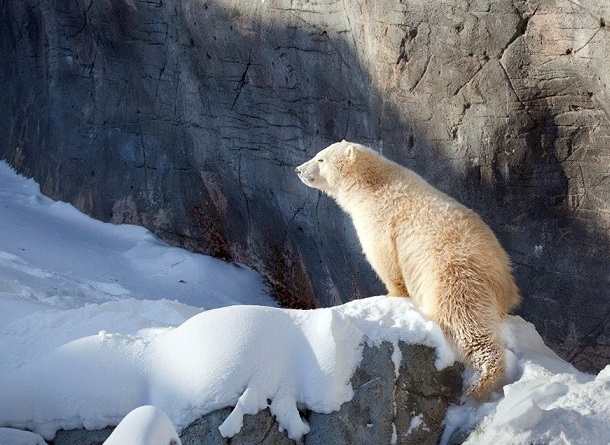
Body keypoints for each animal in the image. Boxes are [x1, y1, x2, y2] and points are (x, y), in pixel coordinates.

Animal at [294, 140, 516, 398]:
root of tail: (499, 269)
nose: (298, 170)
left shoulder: (379, 220)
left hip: (453, 272)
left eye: (321, 159)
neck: (371, 185)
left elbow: (384, 259)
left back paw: (481, 381)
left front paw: (393, 295)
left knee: (463, 318)